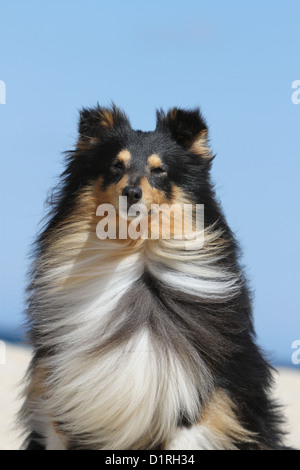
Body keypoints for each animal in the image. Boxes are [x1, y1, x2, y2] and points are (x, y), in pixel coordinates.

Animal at [20, 104, 284, 450]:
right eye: (116, 165)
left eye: (159, 170)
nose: (130, 193)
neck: (136, 254)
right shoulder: (57, 404)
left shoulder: (204, 408)